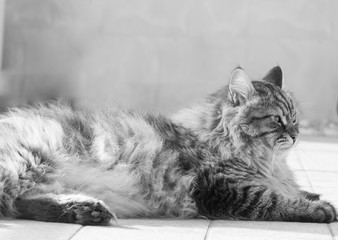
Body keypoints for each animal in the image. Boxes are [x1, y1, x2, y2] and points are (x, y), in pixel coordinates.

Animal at [0, 66, 334, 225]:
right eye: (277, 120)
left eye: (295, 118)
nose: (296, 134)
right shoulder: (220, 189)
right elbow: (275, 200)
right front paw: (321, 209)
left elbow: (294, 190)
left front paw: (312, 195)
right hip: (27, 162)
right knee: (10, 204)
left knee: (22, 204)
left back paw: (85, 210)